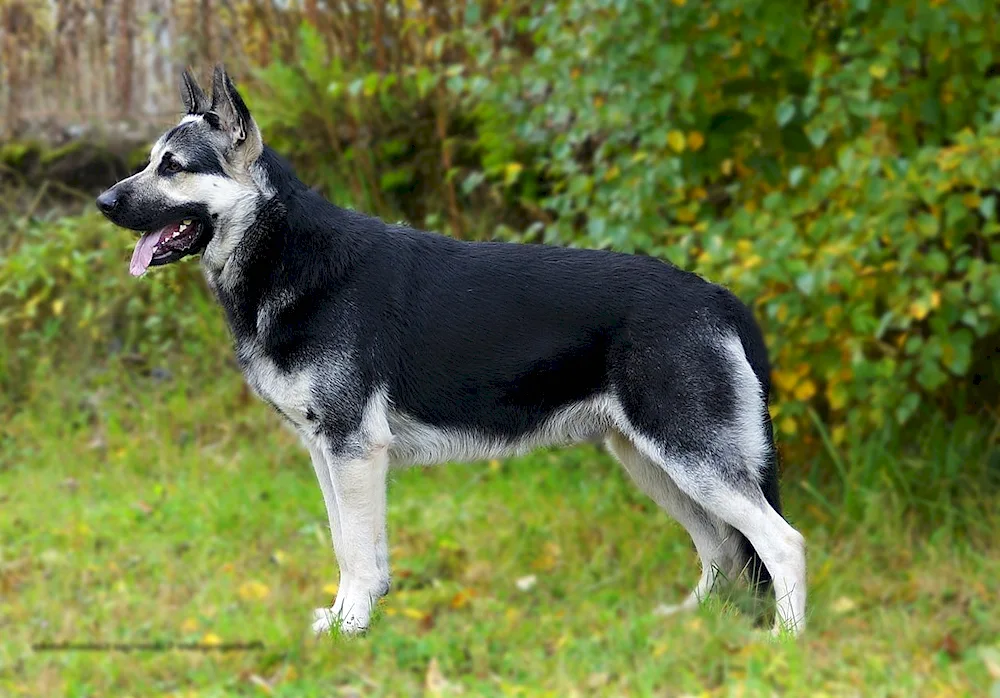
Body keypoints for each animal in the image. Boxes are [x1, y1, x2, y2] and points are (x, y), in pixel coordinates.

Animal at [97, 68, 808, 632]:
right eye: (150, 160)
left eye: (172, 166)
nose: (102, 201)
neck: (286, 258)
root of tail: (717, 296)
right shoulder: (327, 454)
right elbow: (350, 548)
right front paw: (350, 619)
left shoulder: (353, 451)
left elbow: (357, 553)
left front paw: (351, 629)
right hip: (652, 462)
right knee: (721, 550)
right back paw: (685, 624)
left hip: (691, 462)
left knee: (781, 543)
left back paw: (784, 643)